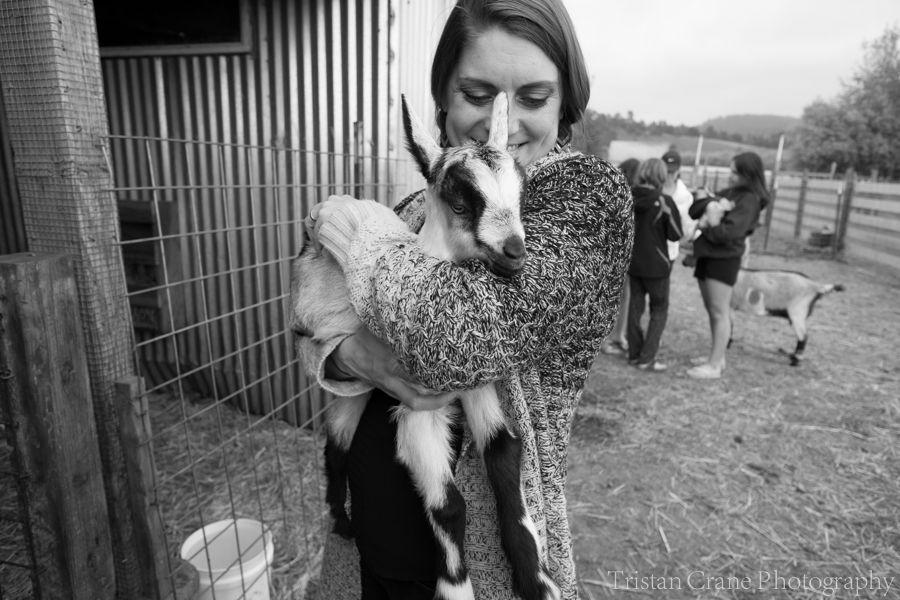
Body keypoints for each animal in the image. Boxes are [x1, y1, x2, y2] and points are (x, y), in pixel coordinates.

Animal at [288, 92, 560, 600]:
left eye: (522, 196)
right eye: (460, 203)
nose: (515, 253)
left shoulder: (475, 386)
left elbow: (504, 453)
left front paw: (536, 579)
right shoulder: (417, 407)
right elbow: (449, 505)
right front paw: (456, 589)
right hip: (348, 389)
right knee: (335, 448)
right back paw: (341, 523)